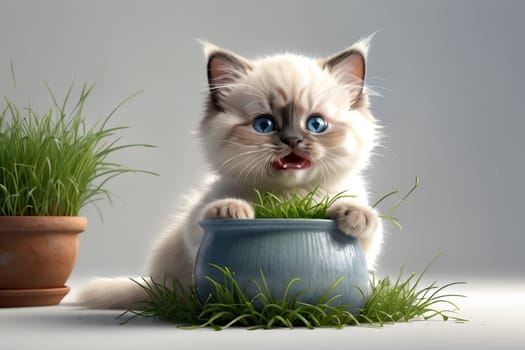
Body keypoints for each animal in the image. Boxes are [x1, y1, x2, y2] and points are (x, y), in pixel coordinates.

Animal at [77, 39, 380, 308]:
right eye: (264, 125)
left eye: (316, 124)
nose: (292, 140)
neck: (288, 197)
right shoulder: (195, 225)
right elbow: (209, 215)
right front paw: (230, 211)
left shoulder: (366, 246)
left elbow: (371, 228)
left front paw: (355, 215)